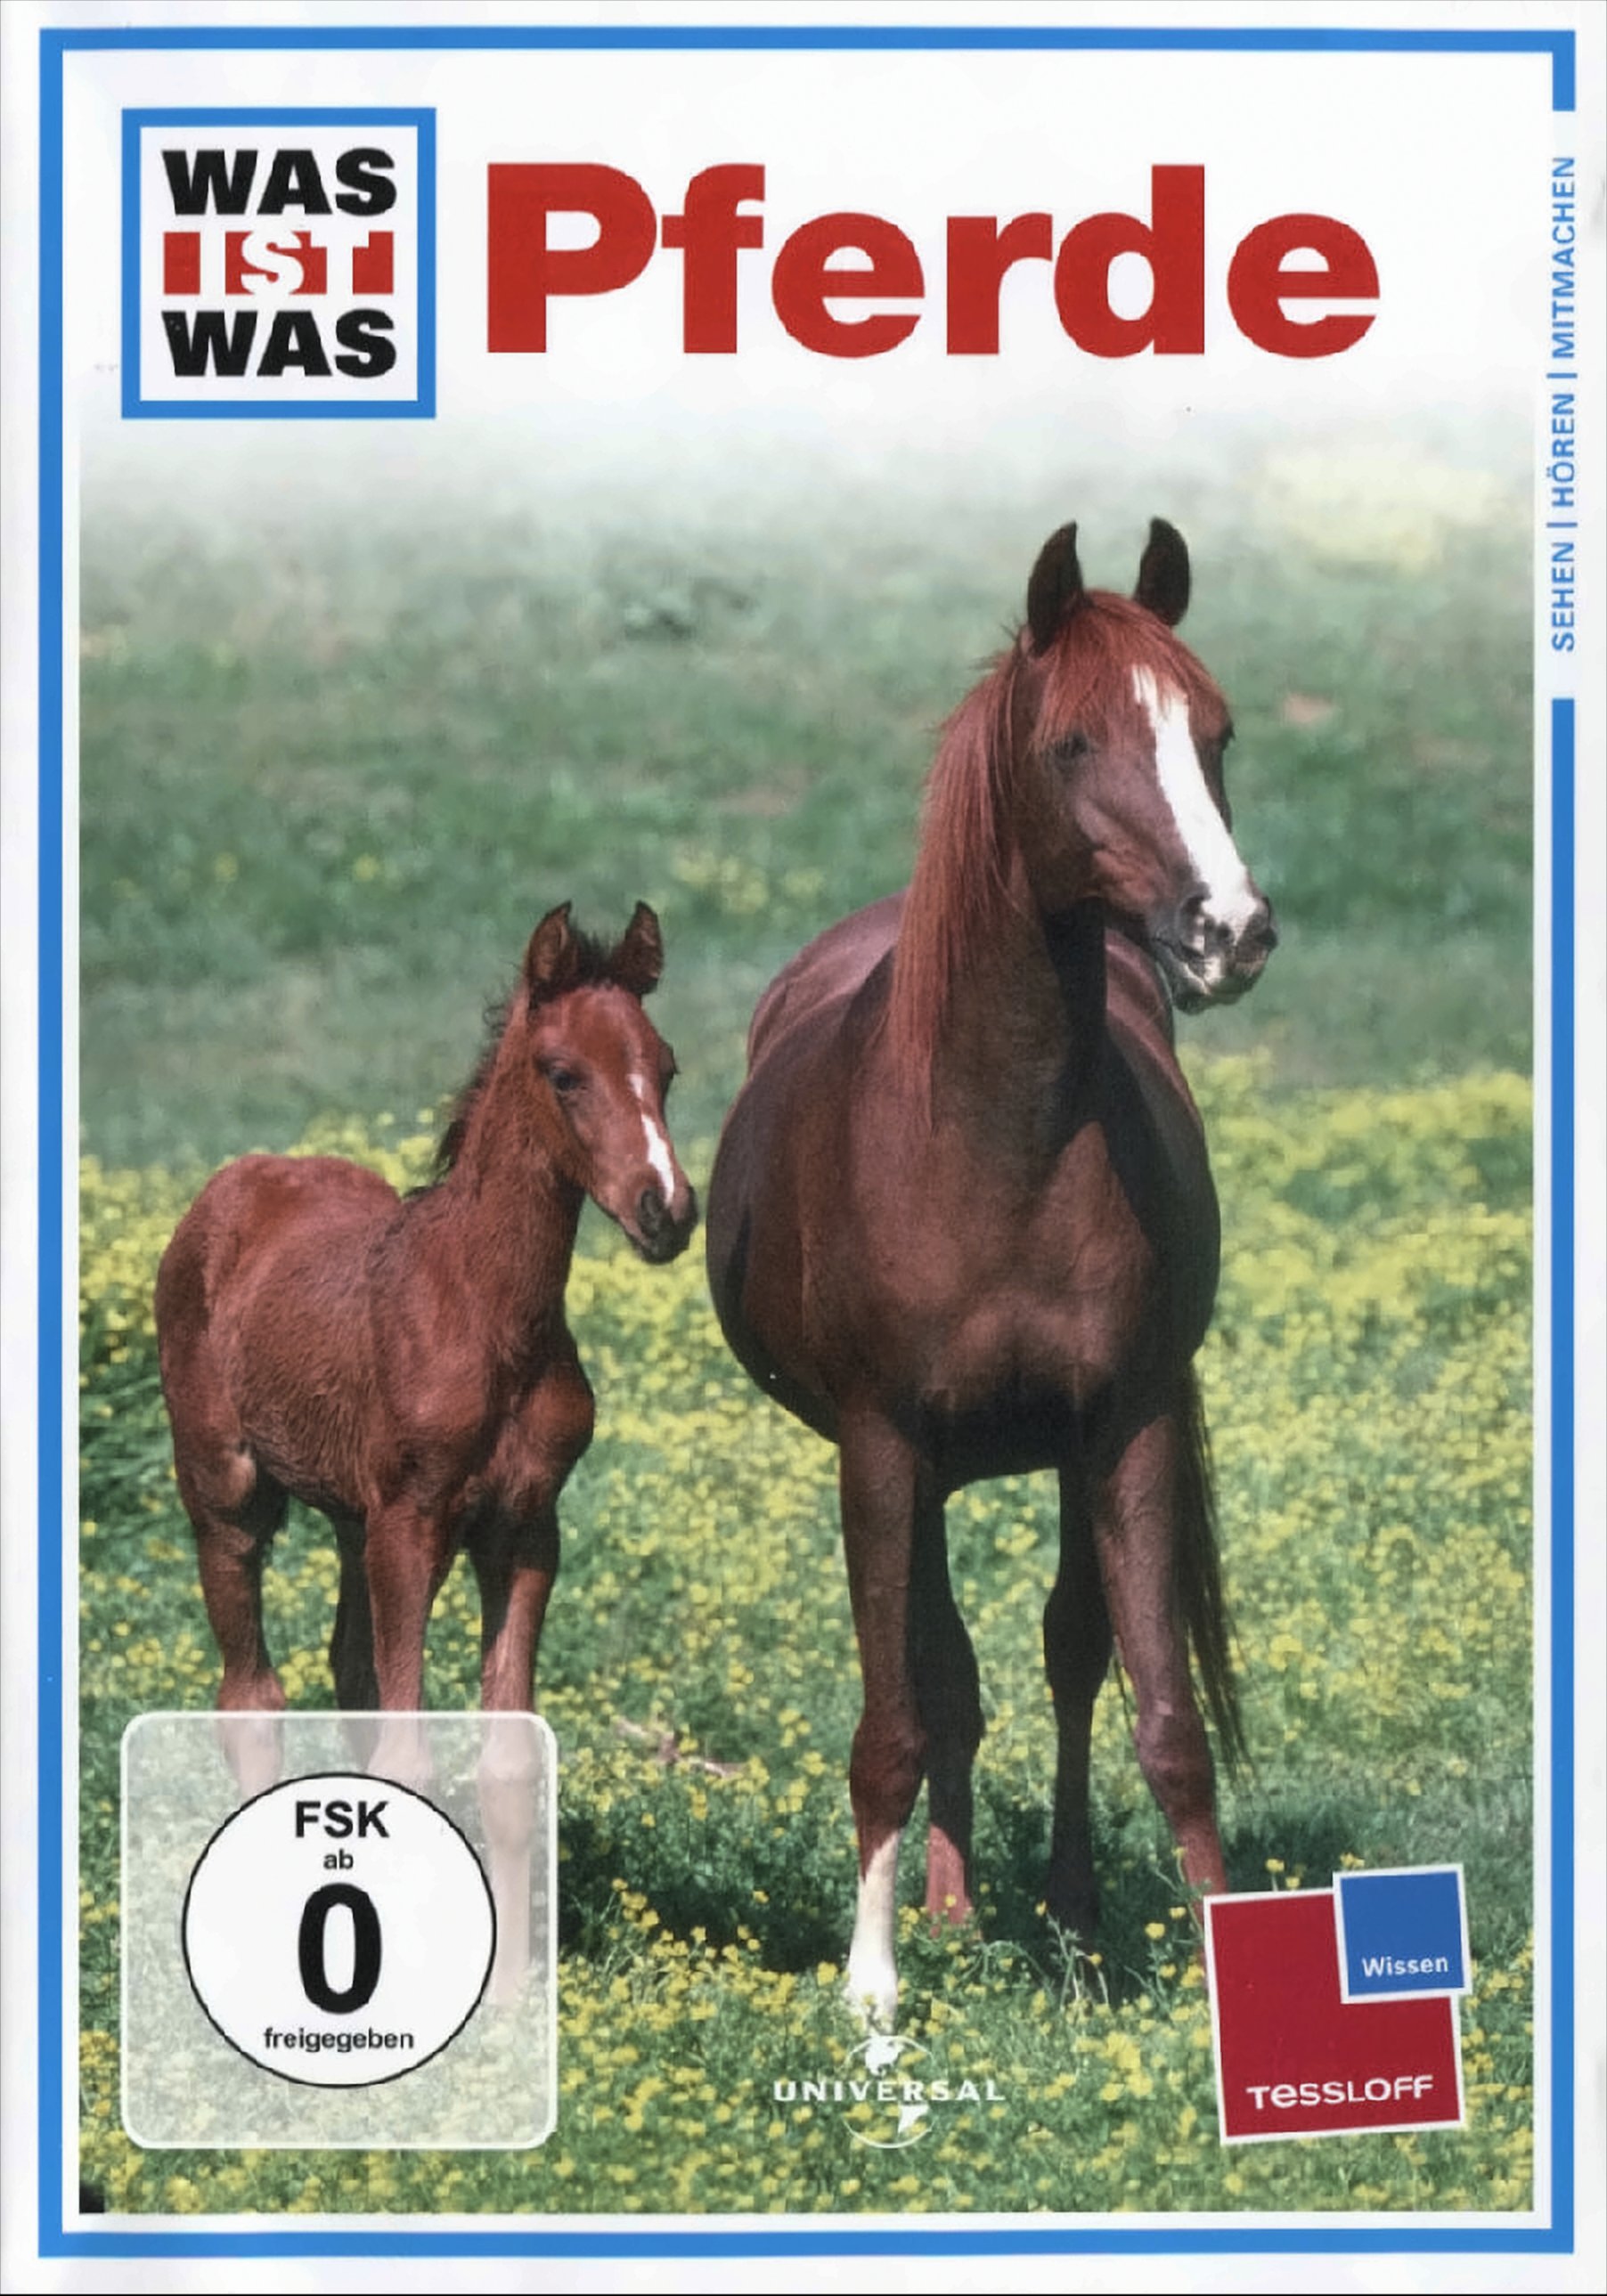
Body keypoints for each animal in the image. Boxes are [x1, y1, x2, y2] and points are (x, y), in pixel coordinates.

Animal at [156, 901, 697, 1997]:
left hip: (350, 1518)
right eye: (561, 1072)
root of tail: (234, 1182)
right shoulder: (414, 1522)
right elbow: (409, 1758)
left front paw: (516, 1989)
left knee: (347, 1677)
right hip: (229, 1494)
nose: (666, 1209)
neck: (489, 1315)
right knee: (251, 1697)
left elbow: (507, 1758)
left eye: (665, 1068)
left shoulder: (524, 1532)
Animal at [706, 520, 1275, 2026]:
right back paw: (953, 1919)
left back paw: (1064, 1921)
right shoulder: (883, 1447)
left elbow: (1159, 1712)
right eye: (1074, 742)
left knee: (1064, 1656)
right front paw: (872, 1992)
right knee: (943, 1676)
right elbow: (897, 1718)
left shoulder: (1125, 1425)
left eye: (1217, 733)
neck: (995, 1135)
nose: (1231, 930)